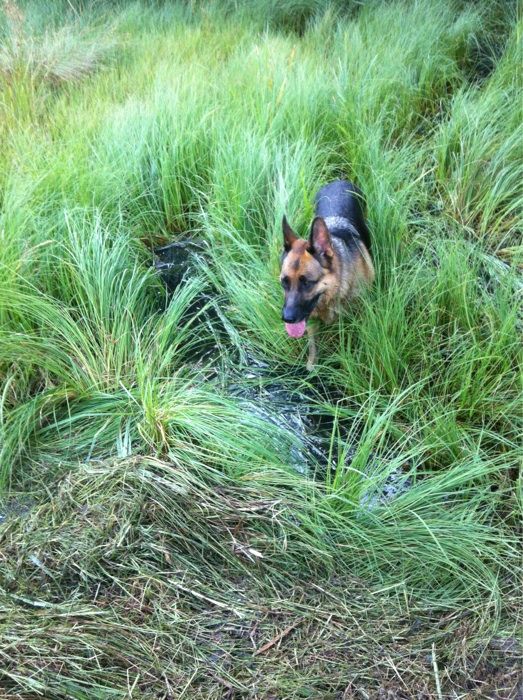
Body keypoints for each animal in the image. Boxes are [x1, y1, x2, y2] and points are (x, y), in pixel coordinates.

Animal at [280, 178, 374, 370]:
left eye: (307, 282)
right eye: (284, 282)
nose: (286, 318)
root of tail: (339, 181)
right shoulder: (310, 321)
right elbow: (312, 344)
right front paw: (312, 364)